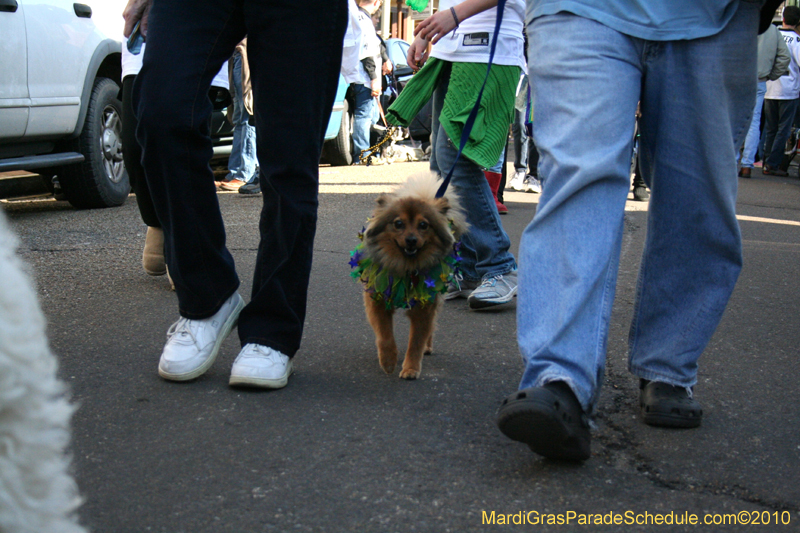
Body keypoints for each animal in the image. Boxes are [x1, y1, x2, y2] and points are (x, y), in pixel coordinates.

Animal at [350, 172, 468, 376]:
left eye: (423, 225)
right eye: (398, 223)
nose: (411, 240)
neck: (405, 266)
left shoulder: (424, 305)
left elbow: (416, 341)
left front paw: (411, 368)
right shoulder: (378, 300)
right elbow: (385, 335)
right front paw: (388, 360)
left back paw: (427, 347)